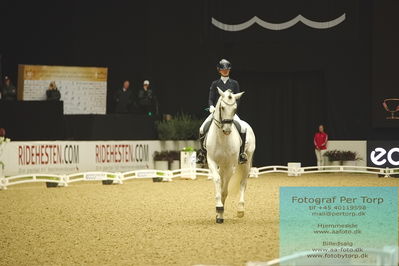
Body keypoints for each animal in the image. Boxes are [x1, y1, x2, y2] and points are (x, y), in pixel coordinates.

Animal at [206, 88, 256, 223]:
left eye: (235, 109)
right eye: (222, 107)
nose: (227, 130)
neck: (222, 138)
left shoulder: (230, 166)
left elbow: (224, 190)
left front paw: (220, 211)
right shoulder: (212, 161)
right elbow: (218, 181)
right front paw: (219, 209)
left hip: (246, 162)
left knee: (243, 183)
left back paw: (240, 210)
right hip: (222, 166)